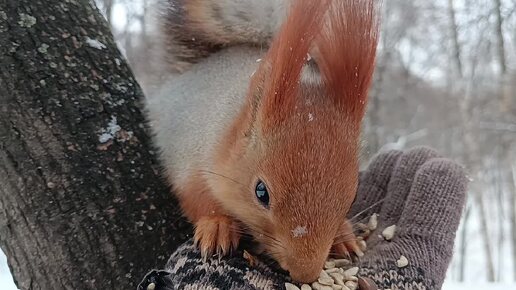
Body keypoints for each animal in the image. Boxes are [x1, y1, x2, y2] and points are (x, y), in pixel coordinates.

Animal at [145, 0, 378, 282]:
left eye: (353, 197)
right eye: (261, 192)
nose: (305, 273)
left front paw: (344, 235)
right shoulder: (188, 163)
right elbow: (197, 201)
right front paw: (217, 226)